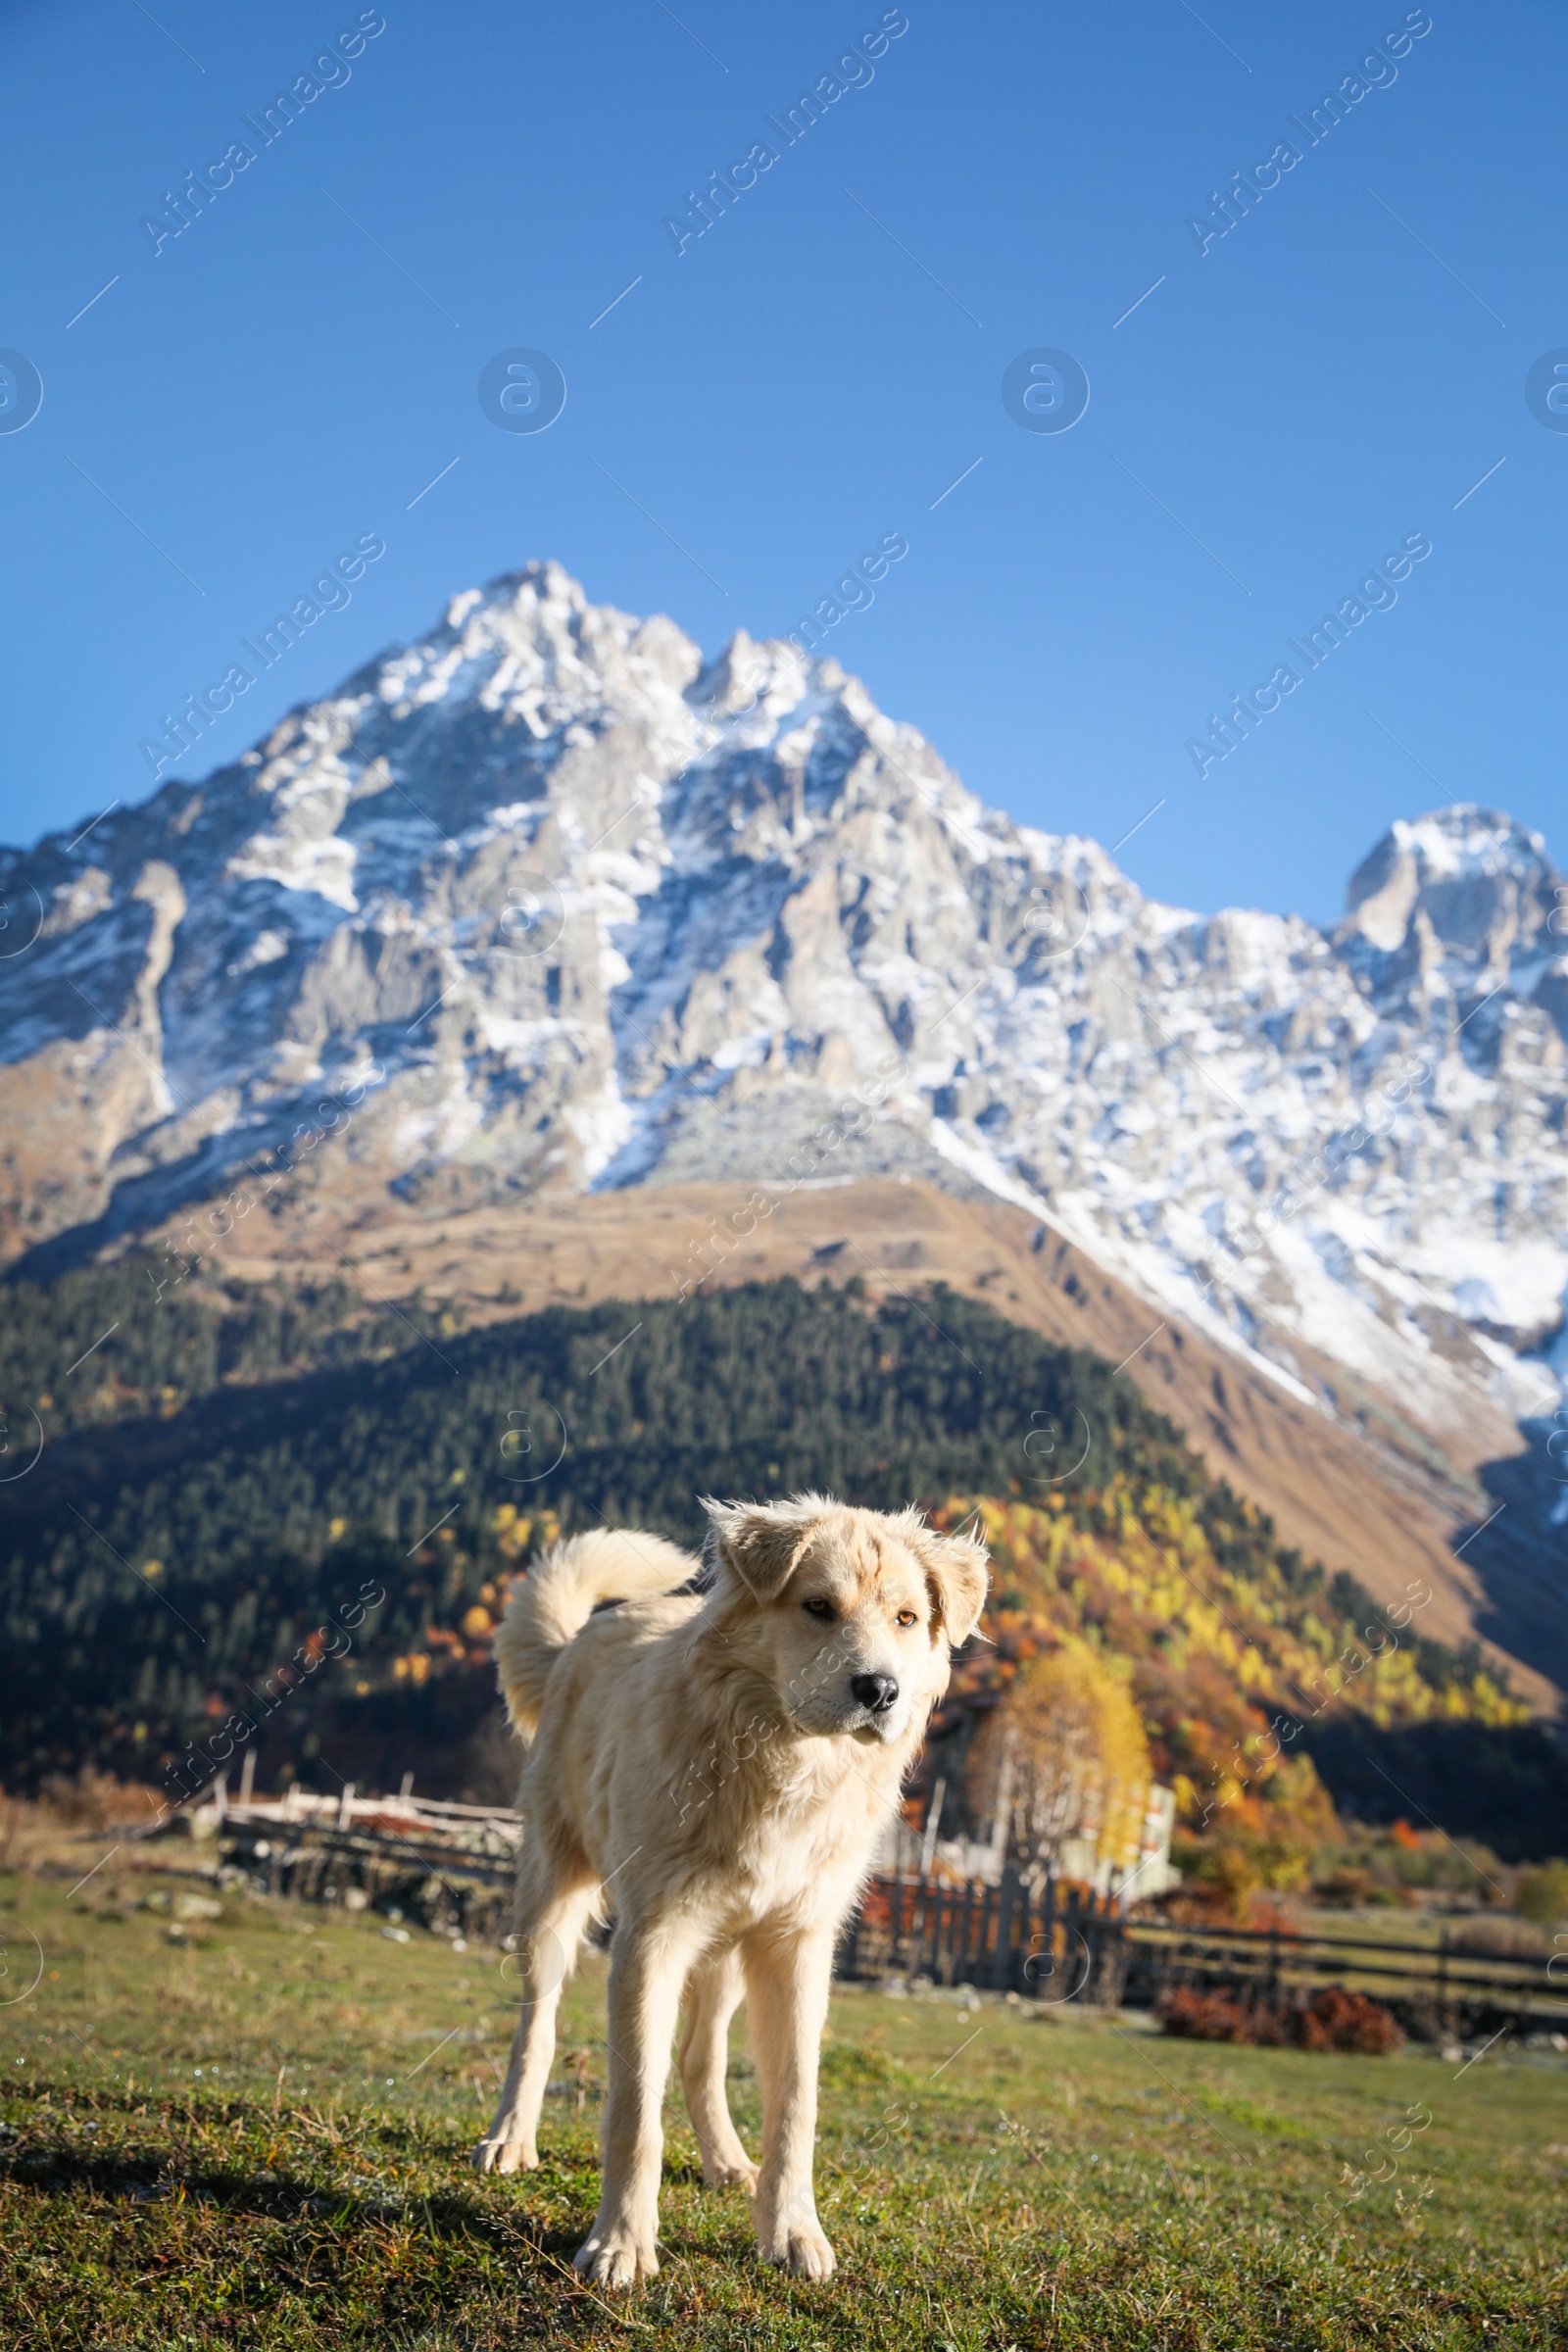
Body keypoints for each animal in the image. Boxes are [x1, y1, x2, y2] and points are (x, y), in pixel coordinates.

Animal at [479, 1495, 992, 2285]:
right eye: (818, 1606)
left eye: (907, 1618)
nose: (880, 1691)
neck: (783, 1761)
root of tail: (576, 1642)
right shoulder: (651, 1940)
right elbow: (634, 2109)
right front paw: (621, 2244)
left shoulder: (795, 1948)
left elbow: (795, 2103)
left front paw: (793, 2232)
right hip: (553, 1903)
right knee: (536, 2029)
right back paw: (511, 2138)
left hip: (722, 1954)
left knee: (700, 2060)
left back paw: (727, 2163)